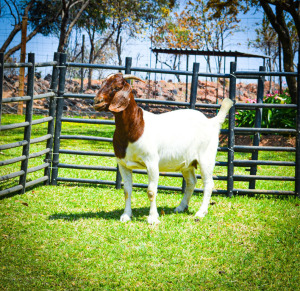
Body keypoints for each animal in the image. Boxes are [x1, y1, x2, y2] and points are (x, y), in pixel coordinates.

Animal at [93, 74, 232, 225]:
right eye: (102, 83)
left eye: (116, 87)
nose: (96, 101)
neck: (136, 125)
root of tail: (212, 122)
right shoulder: (123, 164)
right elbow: (127, 190)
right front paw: (126, 215)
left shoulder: (152, 162)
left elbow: (151, 191)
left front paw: (153, 218)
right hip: (187, 163)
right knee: (191, 182)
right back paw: (181, 207)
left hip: (206, 157)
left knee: (208, 184)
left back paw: (200, 213)